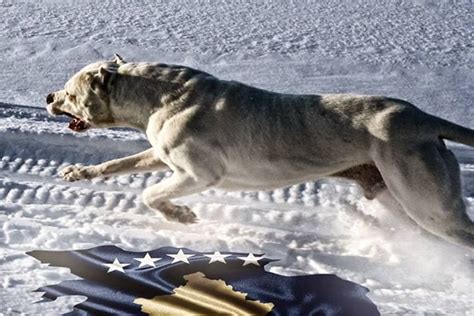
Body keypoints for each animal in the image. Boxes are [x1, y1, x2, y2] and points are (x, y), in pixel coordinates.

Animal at [47, 55, 474, 249]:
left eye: (70, 92)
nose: (49, 96)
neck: (157, 97)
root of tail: (423, 119)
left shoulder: (197, 174)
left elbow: (150, 194)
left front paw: (182, 216)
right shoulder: (162, 156)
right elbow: (117, 165)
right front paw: (77, 173)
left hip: (428, 203)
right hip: (393, 195)